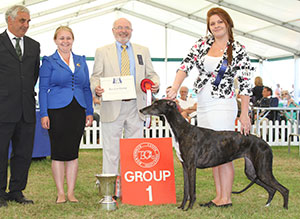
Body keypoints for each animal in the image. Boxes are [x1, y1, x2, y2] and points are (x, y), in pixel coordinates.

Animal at [139, 99, 290, 210]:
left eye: (156, 104)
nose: (141, 110)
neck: (183, 130)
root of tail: (266, 143)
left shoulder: (191, 166)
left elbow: (192, 191)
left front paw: (189, 208)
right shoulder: (184, 166)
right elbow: (186, 190)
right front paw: (181, 207)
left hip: (263, 171)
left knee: (284, 189)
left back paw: (284, 209)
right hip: (252, 172)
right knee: (271, 189)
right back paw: (267, 205)